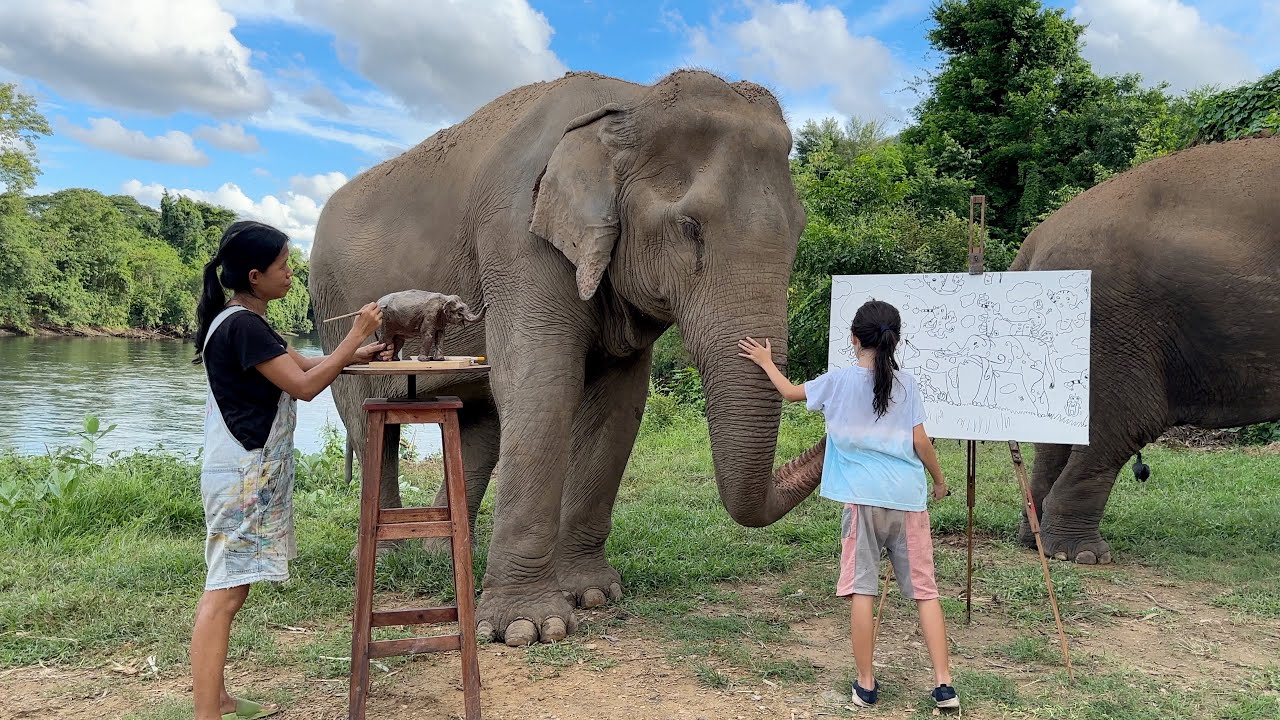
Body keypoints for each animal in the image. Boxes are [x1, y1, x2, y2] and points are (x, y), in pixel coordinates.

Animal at [310, 70, 825, 646]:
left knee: (478, 425)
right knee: (371, 426)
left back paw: (442, 553)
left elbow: (618, 406)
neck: (631, 99)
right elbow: (544, 383)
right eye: (690, 227)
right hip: (335, 318)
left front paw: (594, 594)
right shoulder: (518, 239)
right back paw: (392, 555)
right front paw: (528, 628)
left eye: (801, 229)